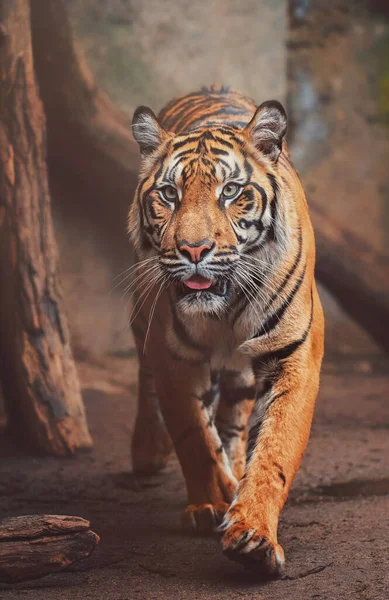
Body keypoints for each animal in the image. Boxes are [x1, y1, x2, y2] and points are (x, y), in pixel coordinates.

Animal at [128, 84, 324, 576]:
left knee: (235, 414)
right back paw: (148, 455)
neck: (226, 307)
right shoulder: (172, 355)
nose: (194, 249)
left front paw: (253, 533)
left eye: (231, 191)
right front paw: (211, 502)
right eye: (169, 193)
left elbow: (274, 448)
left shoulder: (293, 354)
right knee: (149, 387)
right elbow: (193, 436)